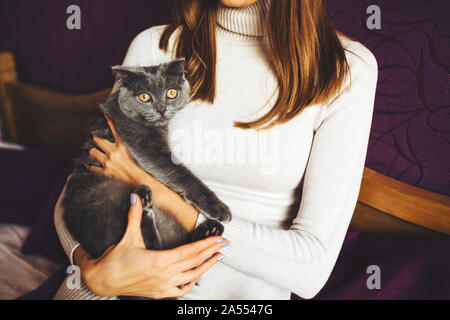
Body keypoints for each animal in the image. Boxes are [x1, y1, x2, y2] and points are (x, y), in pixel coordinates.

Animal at [62, 59, 232, 260]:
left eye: (171, 93)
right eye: (144, 97)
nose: (161, 109)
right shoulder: (145, 147)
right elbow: (181, 174)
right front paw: (219, 209)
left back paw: (208, 230)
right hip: (105, 199)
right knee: (152, 249)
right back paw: (143, 203)